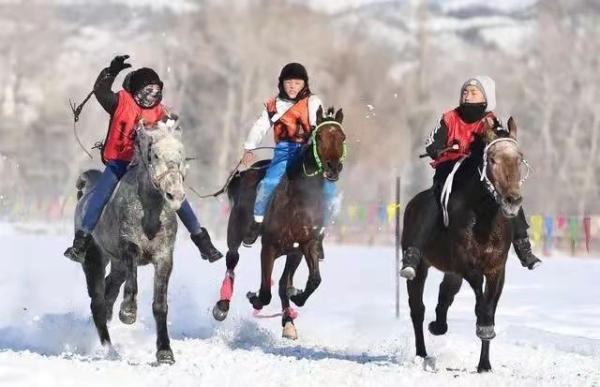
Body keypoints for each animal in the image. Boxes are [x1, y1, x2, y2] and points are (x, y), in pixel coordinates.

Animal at [73, 116, 189, 364]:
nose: (175, 195)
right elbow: (132, 279)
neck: (150, 212)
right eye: (154, 155)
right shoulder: (129, 246)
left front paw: (165, 352)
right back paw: (110, 350)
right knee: (97, 302)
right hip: (94, 258)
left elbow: (160, 304)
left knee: (109, 290)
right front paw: (127, 312)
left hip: (115, 265)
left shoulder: (164, 257)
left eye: (181, 155)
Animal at [212, 106, 344, 340]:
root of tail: (243, 174)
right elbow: (265, 292)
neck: (299, 201)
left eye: (342, 137)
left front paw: (295, 299)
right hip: (235, 231)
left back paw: (288, 319)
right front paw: (254, 297)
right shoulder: (269, 247)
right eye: (319, 136)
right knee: (232, 260)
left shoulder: (303, 247)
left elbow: (310, 281)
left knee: (282, 283)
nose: (333, 167)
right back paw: (222, 306)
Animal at [404, 116, 524, 372]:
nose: (513, 200)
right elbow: (481, 302)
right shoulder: (465, 264)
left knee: (446, 292)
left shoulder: (496, 269)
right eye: (492, 159)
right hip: (420, 267)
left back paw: (438, 325)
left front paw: (484, 364)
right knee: (417, 309)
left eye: (519, 158)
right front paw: (483, 325)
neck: (484, 219)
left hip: (451, 272)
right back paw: (422, 354)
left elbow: (490, 307)